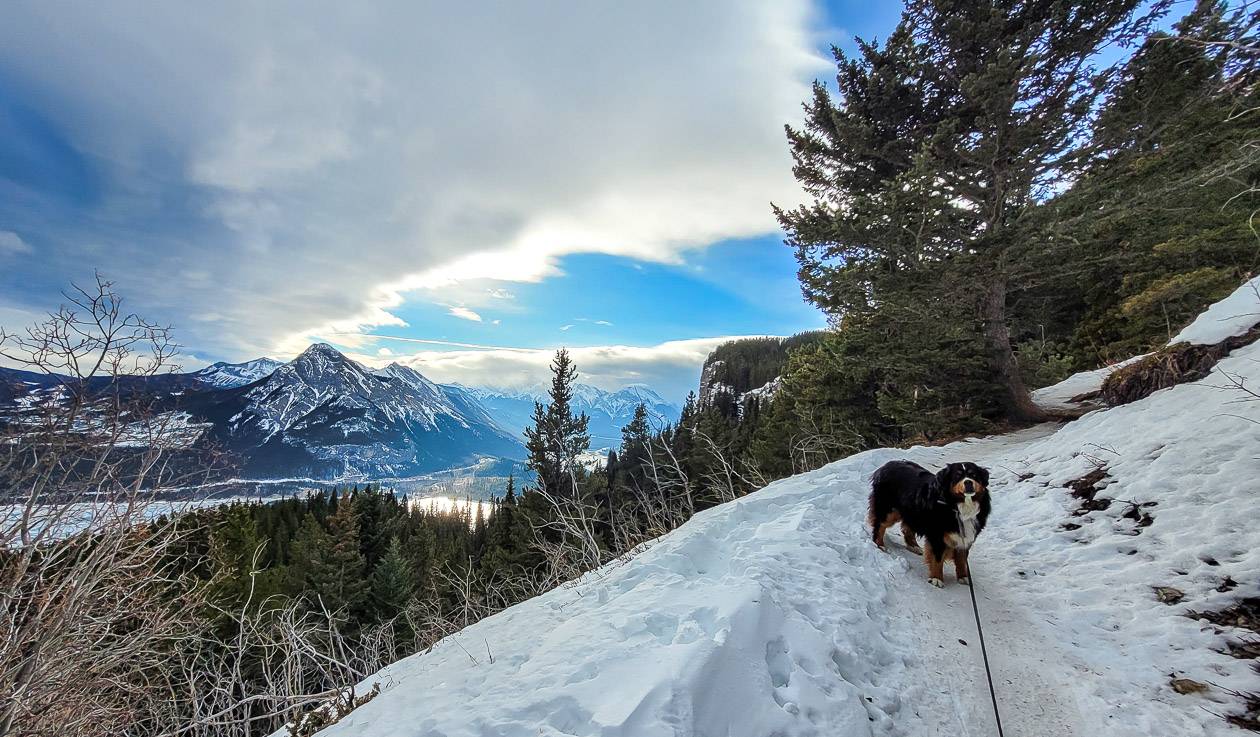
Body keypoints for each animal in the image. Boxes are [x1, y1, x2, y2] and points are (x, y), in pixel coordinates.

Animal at [871, 458, 987, 587]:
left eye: (973, 475)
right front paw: (936, 578)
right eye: (958, 476)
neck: (959, 507)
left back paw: (914, 546)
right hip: (889, 510)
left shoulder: (965, 538)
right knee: (880, 524)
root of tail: (886, 465)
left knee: (907, 527)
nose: (968, 482)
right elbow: (937, 558)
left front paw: (963, 577)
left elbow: (962, 559)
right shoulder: (937, 535)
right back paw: (879, 544)